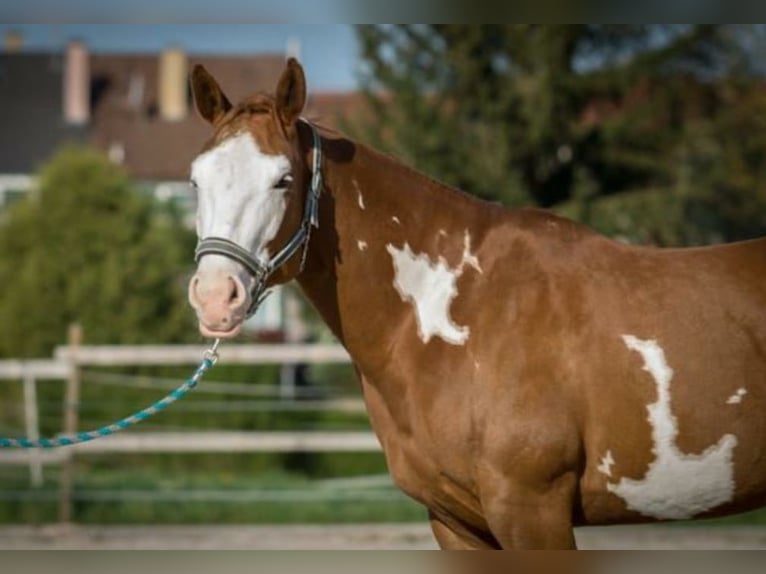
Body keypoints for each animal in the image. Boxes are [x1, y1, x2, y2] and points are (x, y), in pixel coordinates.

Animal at [186, 58, 766, 549]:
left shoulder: (531, 509)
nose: (215, 297)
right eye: (195, 181)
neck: (460, 312)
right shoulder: (455, 520)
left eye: (283, 180)